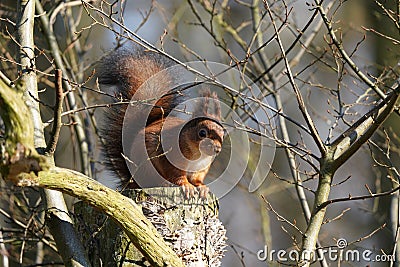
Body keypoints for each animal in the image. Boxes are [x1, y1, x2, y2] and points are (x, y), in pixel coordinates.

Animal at [97, 46, 225, 198]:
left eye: (223, 135)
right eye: (202, 133)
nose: (217, 149)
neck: (199, 155)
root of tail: (131, 180)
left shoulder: (200, 168)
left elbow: (196, 179)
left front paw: (202, 187)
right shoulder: (170, 155)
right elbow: (176, 174)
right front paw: (186, 185)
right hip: (146, 165)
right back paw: (164, 183)